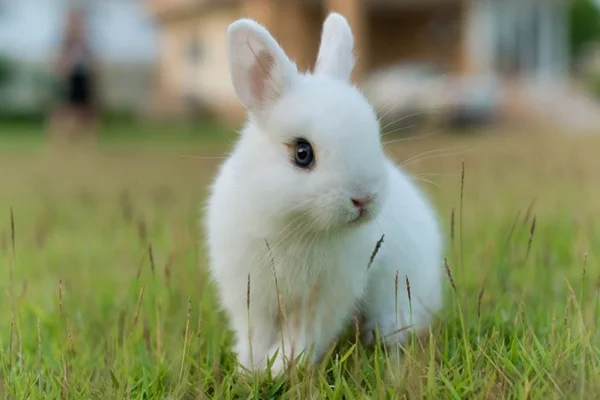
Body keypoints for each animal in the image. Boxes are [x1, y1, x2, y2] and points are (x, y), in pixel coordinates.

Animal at [204, 12, 442, 376]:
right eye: (303, 153)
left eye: (375, 136)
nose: (364, 198)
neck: (295, 227)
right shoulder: (249, 294)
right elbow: (254, 333)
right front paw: (251, 369)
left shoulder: (324, 299)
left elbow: (302, 335)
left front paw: (280, 367)